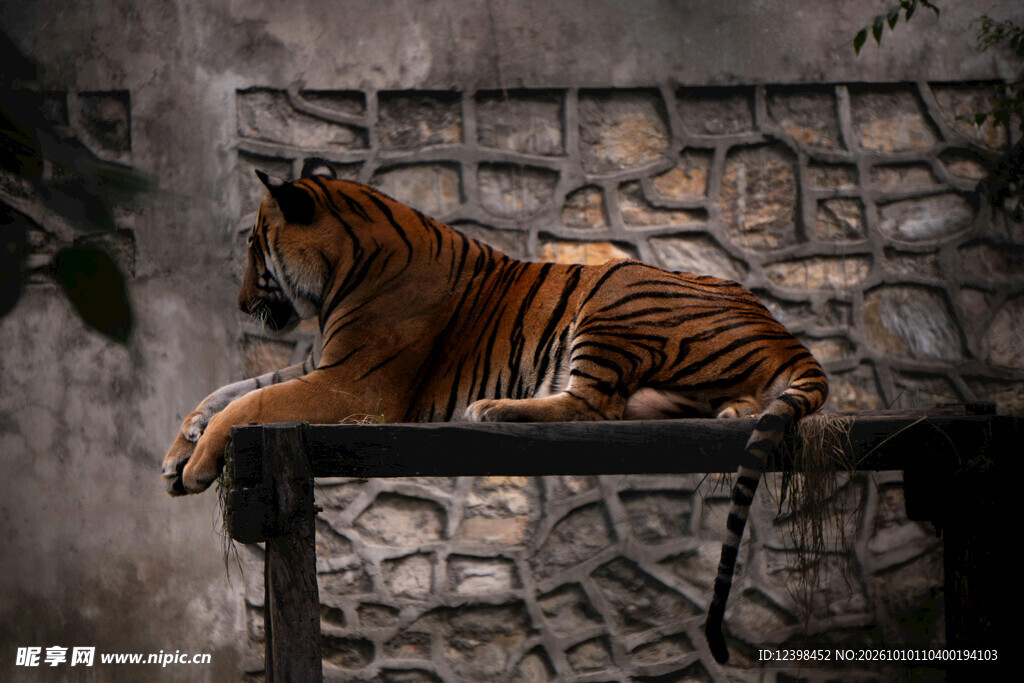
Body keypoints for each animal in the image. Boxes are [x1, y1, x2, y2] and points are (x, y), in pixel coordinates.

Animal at [161, 158, 828, 664]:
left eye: (256, 248)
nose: (241, 304)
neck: (339, 275)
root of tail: (781, 330)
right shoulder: (323, 367)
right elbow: (231, 388)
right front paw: (179, 450)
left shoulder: (355, 384)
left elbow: (253, 398)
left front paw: (196, 466)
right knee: (653, 405)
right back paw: (723, 413)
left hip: (615, 288)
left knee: (593, 407)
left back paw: (494, 408)